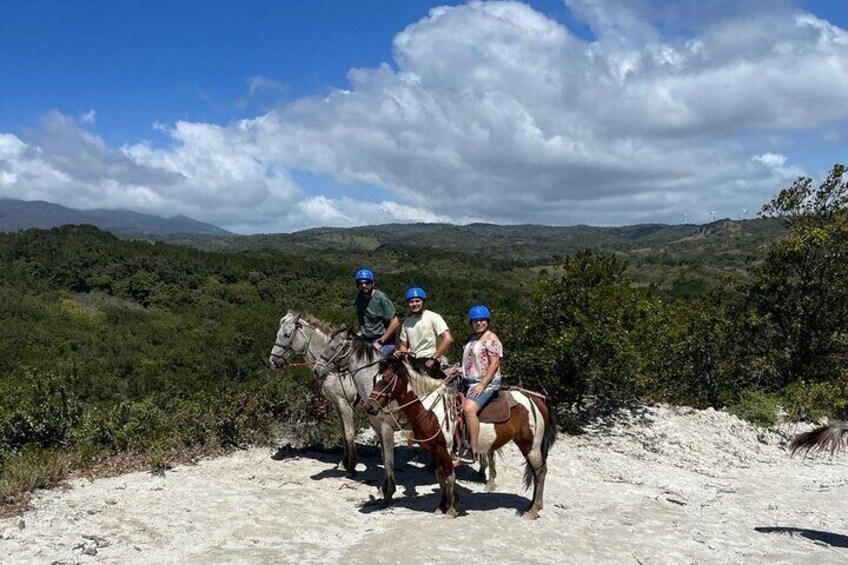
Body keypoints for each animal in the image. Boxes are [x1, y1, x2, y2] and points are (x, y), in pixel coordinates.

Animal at [270, 310, 402, 500]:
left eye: (287, 335)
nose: (273, 361)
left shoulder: (343, 403)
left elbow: (348, 432)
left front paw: (350, 466)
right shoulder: (337, 404)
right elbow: (343, 432)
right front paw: (345, 462)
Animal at [362, 356, 556, 520]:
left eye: (386, 379)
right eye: (374, 379)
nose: (369, 406)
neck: (431, 409)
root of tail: (536, 399)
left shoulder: (444, 450)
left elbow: (449, 477)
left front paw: (452, 508)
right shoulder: (433, 450)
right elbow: (440, 478)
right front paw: (441, 506)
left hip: (530, 445)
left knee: (540, 471)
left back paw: (533, 510)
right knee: (536, 471)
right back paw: (531, 505)